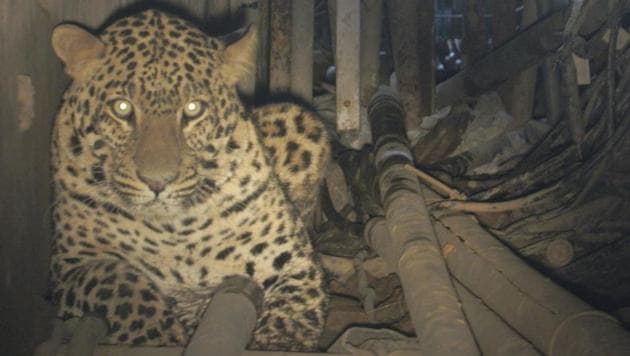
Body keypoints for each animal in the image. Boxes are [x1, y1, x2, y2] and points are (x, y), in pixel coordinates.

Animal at [48, 8, 330, 350]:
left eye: (194, 109)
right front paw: (161, 332)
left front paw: (278, 339)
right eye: (122, 108)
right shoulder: (69, 267)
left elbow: (293, 313)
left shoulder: (291, 259)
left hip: (297, 116)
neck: (175, 229)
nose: (158, 182)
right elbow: (118, 282)